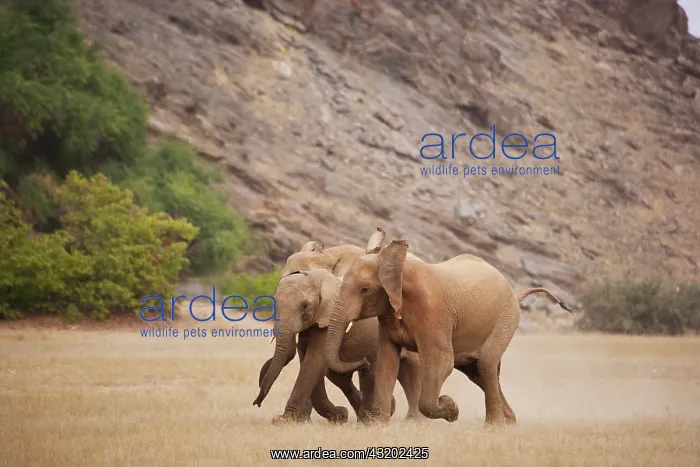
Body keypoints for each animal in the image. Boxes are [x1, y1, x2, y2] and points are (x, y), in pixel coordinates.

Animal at [253, 267, 423, 424]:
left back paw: (411, 419)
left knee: (409, 370)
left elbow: (314, 362)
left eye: (304, 306)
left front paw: (284, 421)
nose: (256, 403)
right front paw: (338, 416)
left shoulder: (327, 319)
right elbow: (308, 362)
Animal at [324, 228, 573, 426]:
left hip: (506, 318)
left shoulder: (432, 314)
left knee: (486, 364)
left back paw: (494, 426)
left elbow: (441, 362)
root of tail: (515, 292)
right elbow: (387, 360)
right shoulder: (388, 315)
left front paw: (451, 408)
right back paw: (510, 422)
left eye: (364, 290)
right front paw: (379, 425)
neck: (396, 264)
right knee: (478, 372)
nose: (362, 363)